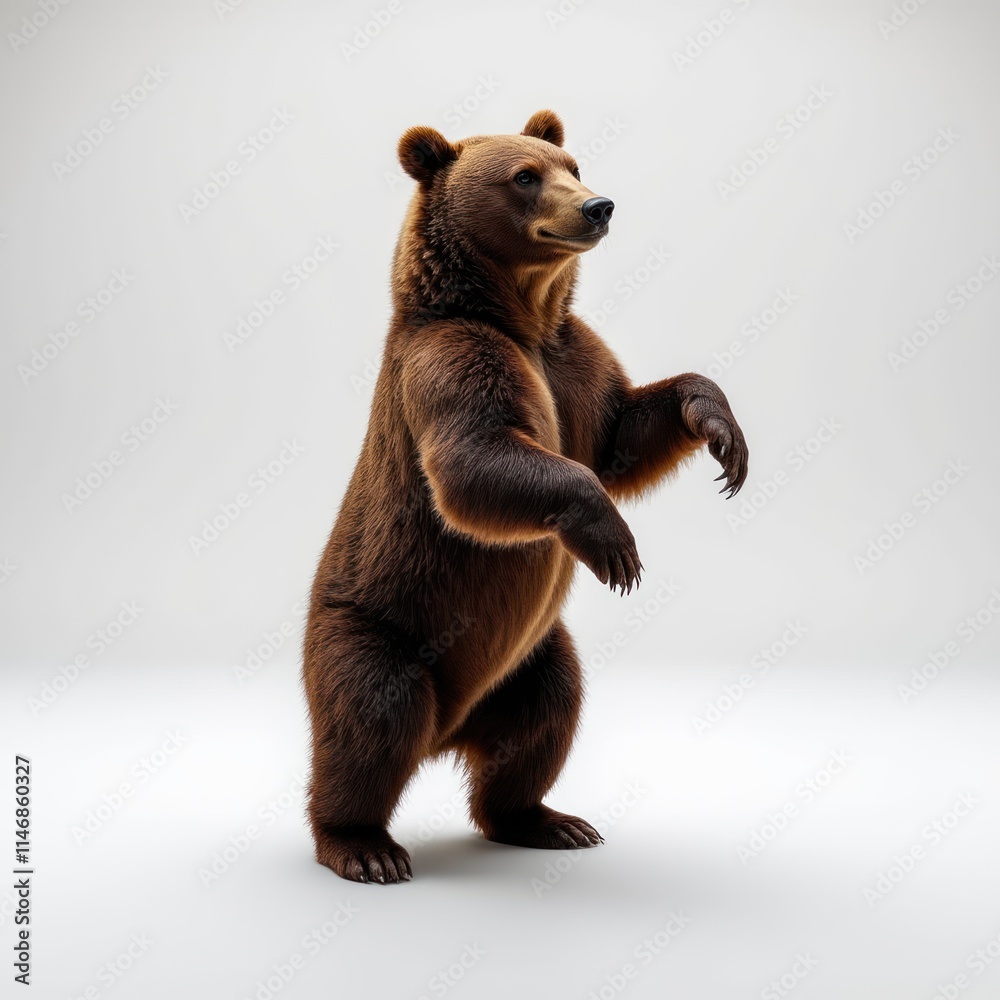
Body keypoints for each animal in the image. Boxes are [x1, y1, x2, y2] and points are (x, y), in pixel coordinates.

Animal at [302, 110, 748, 883]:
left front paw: (723, 432)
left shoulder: (573, 364)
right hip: (373, 623)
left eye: (572, 163)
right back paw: (362, 845)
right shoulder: (455, 358)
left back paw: (547, 820)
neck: (523, 314)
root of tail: (448, 734)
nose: (598, 206)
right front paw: (616, 547)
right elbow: (475, 459)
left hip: (532, 654)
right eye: (524, 176)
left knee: (546, 717)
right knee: (372, 718)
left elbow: (624, 431)